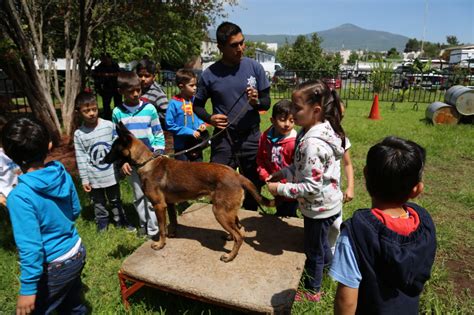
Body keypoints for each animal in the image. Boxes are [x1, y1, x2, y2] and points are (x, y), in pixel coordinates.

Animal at [103, 122, 274, 262]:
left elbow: (161, 228)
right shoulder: (169, 204)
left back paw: (230, 256)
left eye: (113, 148)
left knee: (240, 236)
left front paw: (160, 244)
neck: (146, 162)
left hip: (219, 211)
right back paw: (229, 237)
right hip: (228, 210)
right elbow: (173, 221)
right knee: (238, 227)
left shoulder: (158, 205)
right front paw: (172, 234)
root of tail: (238, 175)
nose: (102, 160)